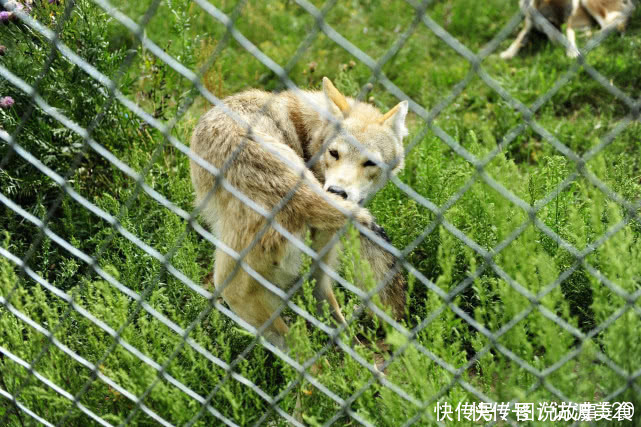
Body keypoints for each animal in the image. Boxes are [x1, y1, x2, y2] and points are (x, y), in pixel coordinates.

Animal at [190, 77, 408, 352]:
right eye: (334, 153)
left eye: (370, 163)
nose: (336, 192)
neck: (304, 129)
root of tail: (299, 194)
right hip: (315, 281)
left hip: (234, 291)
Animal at [498, 0, 632, 59]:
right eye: (551, 22)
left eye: (563, 22)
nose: (558, 46)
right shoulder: (529, 22)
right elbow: (519, 38)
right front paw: (508, 52)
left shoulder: (569, 22)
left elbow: (569, 34)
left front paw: (572, 52)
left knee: (615, 24)